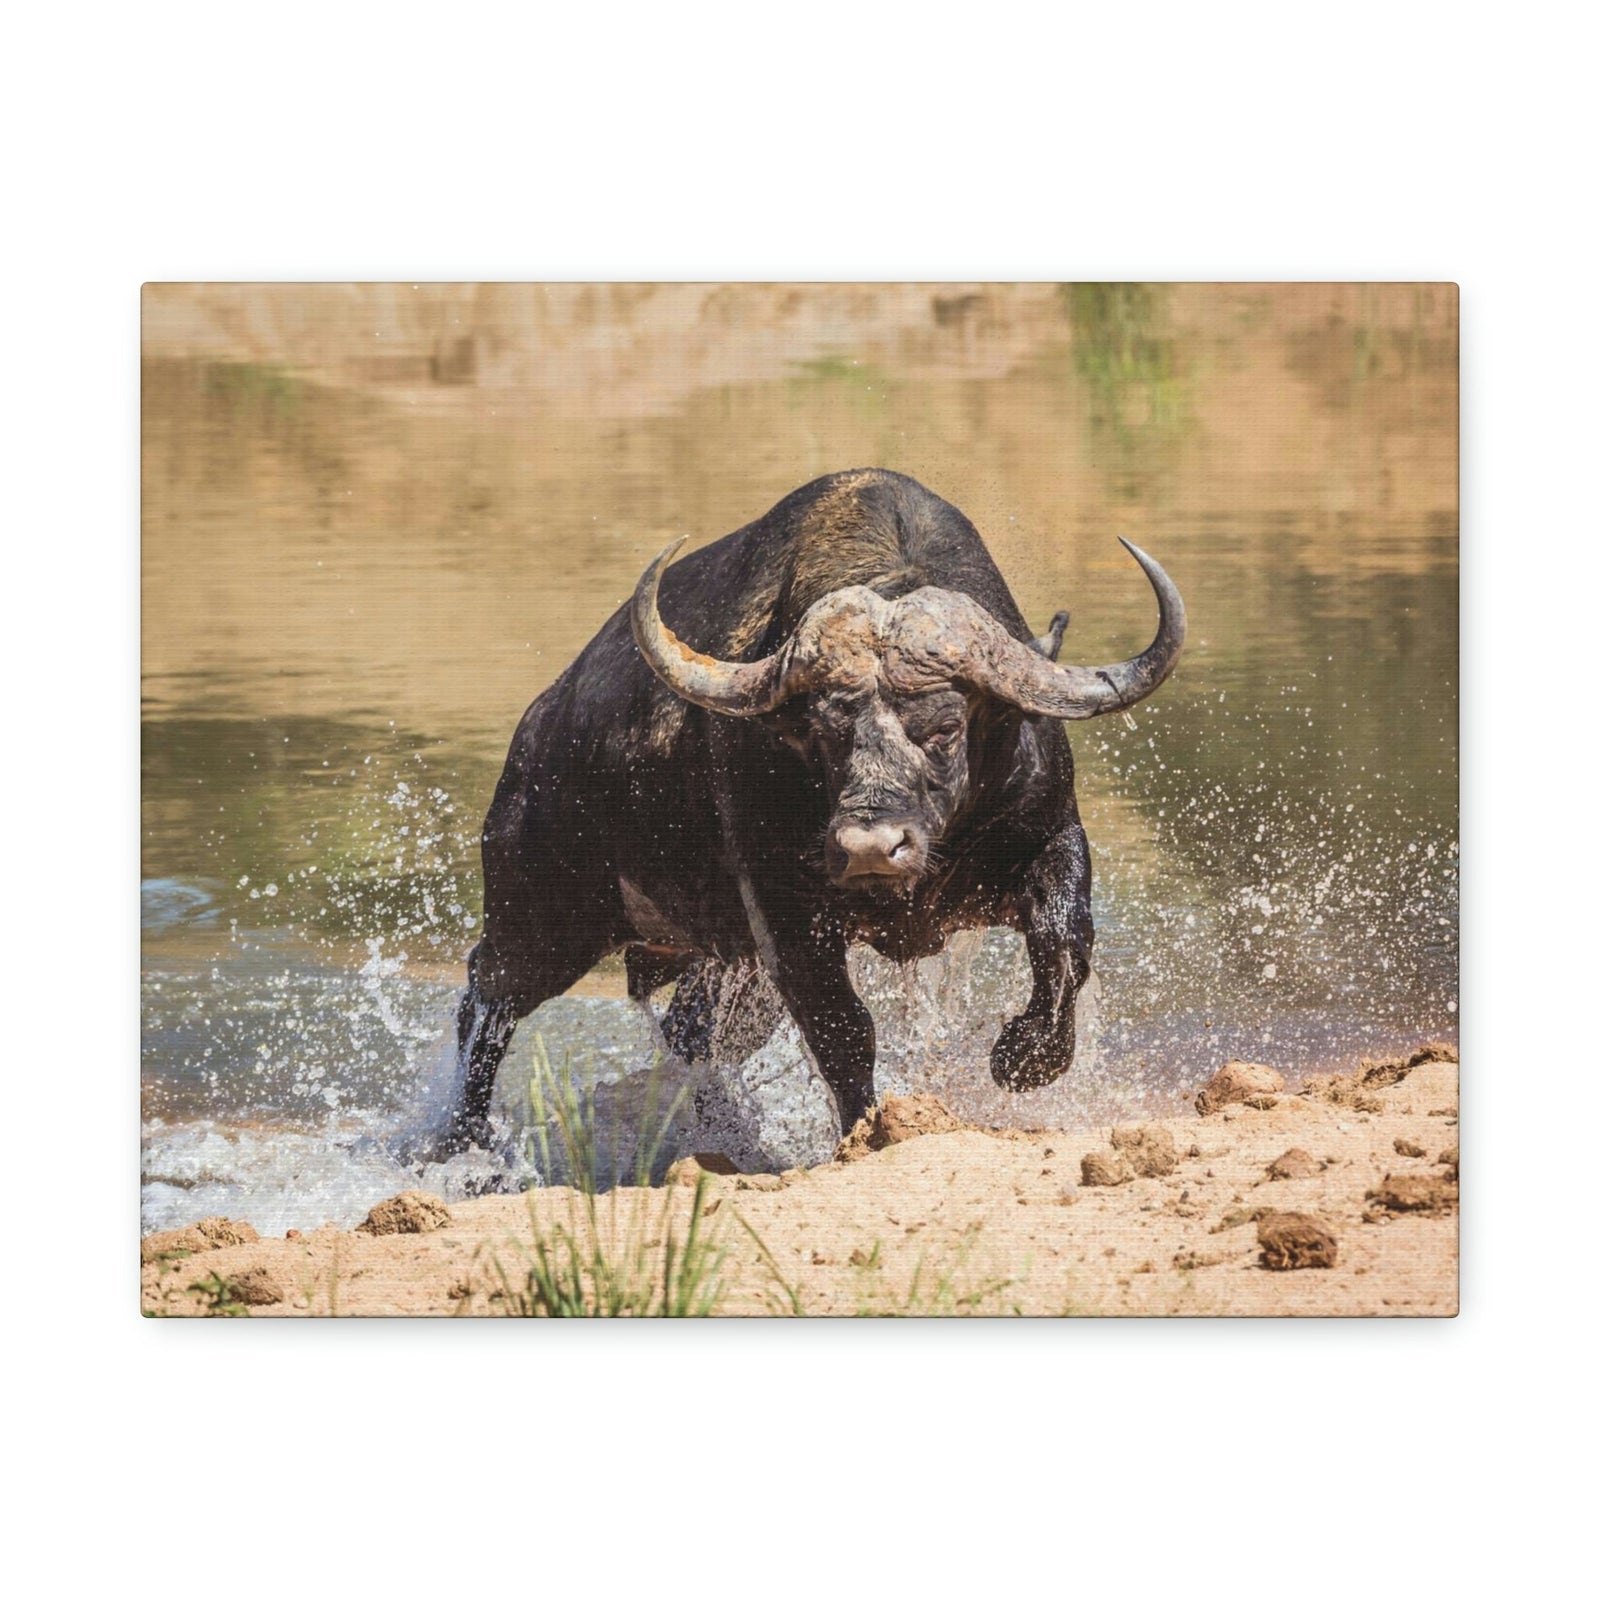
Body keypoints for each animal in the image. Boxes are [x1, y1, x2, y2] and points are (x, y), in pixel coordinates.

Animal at [445, 468, 1185, 1150]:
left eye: (946, 726)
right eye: (822, 733)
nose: (870, 849)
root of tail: (538, 729)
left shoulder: (1050, 836)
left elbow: (1064, 945)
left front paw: (1025, 1058)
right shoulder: (785, 912)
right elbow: (842, 1029)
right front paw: (868, 1130)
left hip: (716, 962)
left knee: (691, 1035)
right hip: (543, 918)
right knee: (487, 1000)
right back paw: (462, 1144)